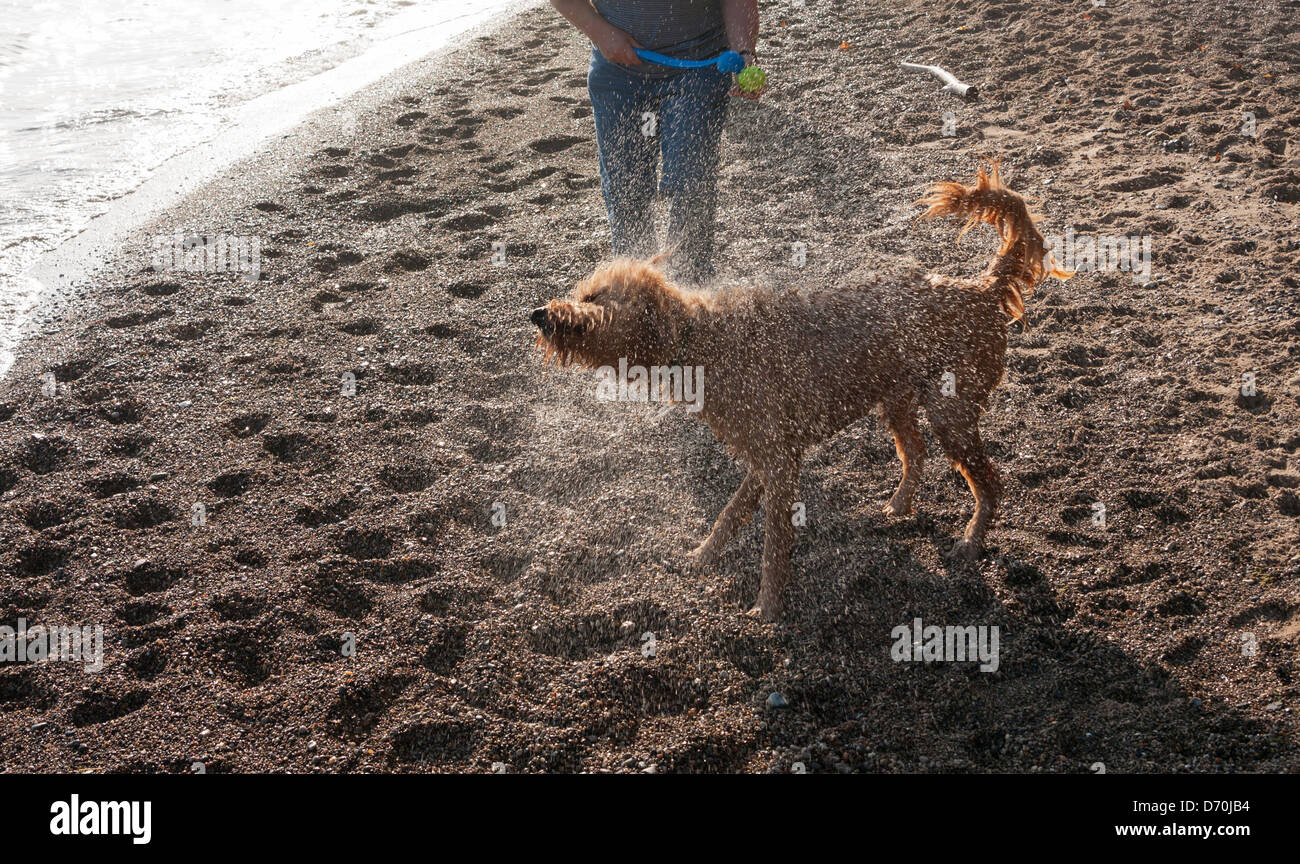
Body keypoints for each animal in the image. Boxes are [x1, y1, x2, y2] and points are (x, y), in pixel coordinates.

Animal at [527, 163, 1066, 621]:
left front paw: (767, 608)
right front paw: (703, 556)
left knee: (989, 482)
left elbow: (773, 545)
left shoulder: (780, 461)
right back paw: (898, 506)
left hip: (950, 410)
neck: (701, 342)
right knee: (915, 452)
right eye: (583, 292)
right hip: (896, 400)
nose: (538, 314)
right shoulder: (764, 457)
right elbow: (729, 515)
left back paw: (970, 544)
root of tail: (983, 289)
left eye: (595, 298)